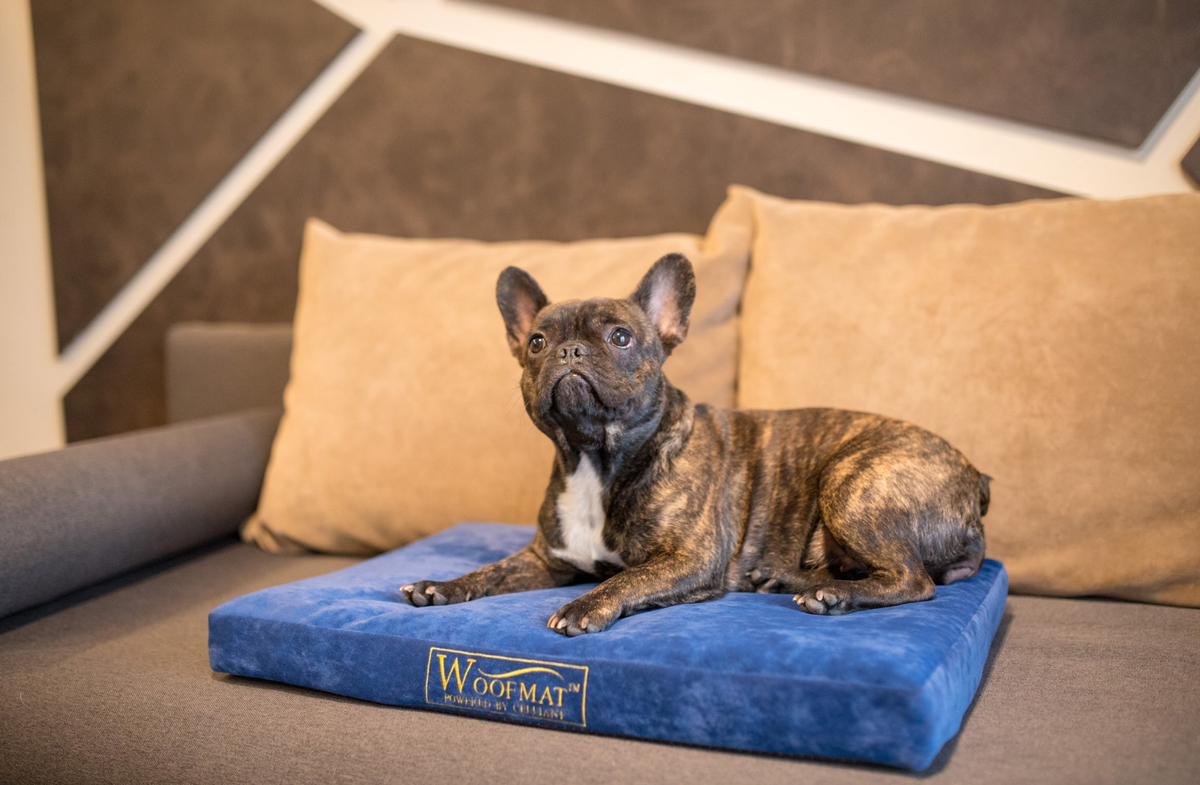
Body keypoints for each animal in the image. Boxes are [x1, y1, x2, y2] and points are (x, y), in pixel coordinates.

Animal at [398, 255, 988, 638]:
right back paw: (785, 577)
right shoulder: (547, 559)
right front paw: (441, 585)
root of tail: (976, 479)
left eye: (619, 337)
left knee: (911, 580)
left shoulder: (689, 558)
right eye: (537, 343)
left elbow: (630, 576)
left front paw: (585, 606)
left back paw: (834, 595)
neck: (596, 458)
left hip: (852, 483)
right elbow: (490, 572)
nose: (568, 351)